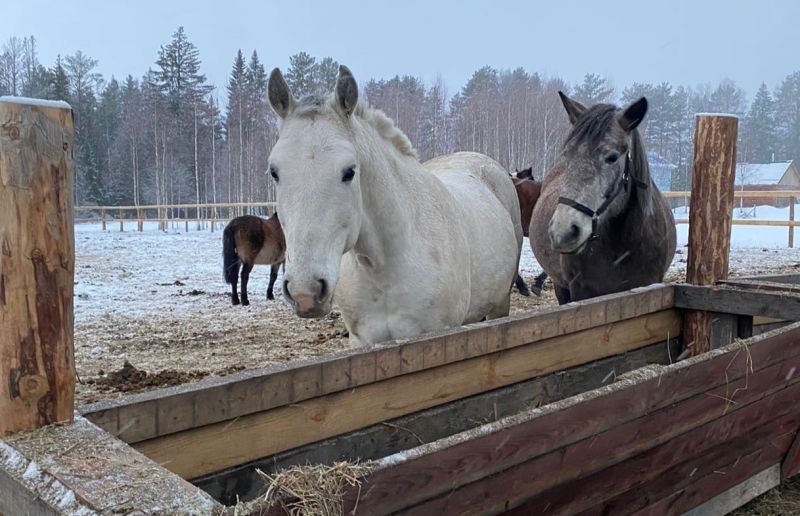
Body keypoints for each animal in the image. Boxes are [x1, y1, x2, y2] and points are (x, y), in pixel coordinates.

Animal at [266, 65, 523, 346]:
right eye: (274, 172)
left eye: (349, 171)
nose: (305, 293)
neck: (384, 267)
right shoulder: (364, 342)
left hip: (500, 306)